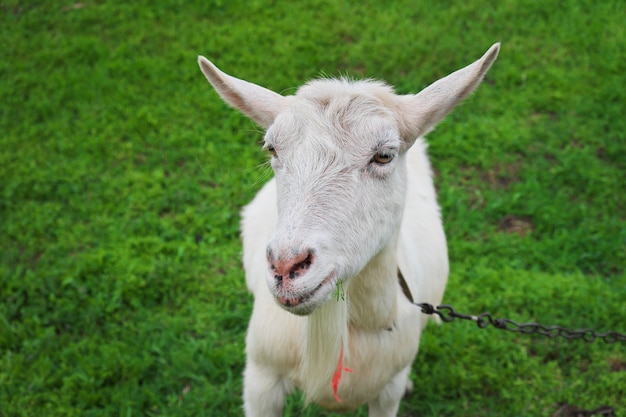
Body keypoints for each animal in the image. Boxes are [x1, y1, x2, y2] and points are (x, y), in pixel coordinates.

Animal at [197, 44, 500, 414]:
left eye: (384, 155)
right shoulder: (261, 380)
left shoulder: (387, 392)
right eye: (272, 149)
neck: (357, 327)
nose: (286, 265)